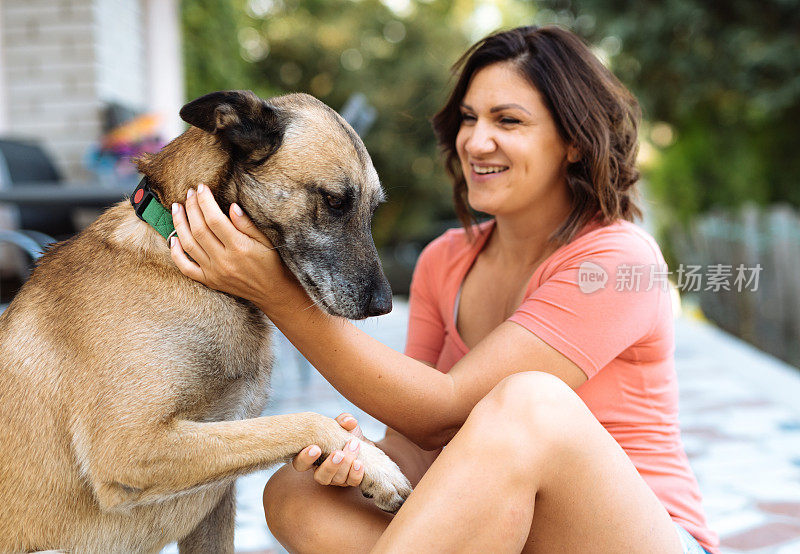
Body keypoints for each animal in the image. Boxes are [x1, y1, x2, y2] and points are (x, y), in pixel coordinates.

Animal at [0, 91, 412, 552]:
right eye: (336, 201)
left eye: (373, 210)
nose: (384, 305)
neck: (172, 244)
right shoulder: (131, 447)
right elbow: (299, 420)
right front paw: (376, 463)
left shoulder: (213, 497)